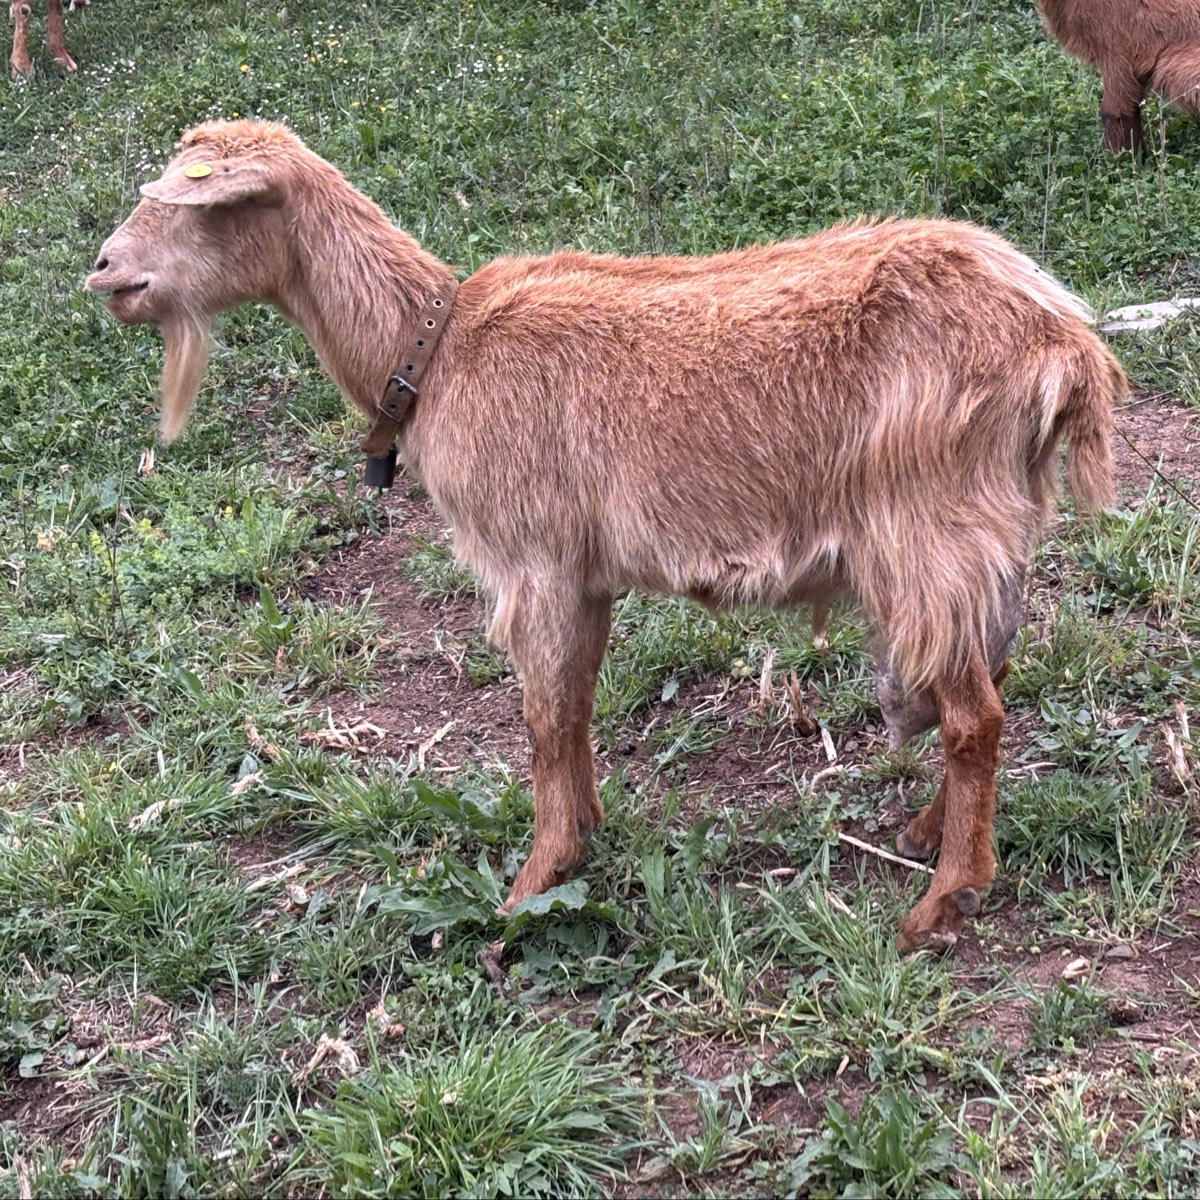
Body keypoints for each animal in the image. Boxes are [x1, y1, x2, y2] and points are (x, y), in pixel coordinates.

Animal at [85, 120, 1124, 951]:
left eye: (192, 204)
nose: (105, 270)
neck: (437, 347)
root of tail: (1064, 346)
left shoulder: (532, 560)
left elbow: (541, 719)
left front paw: (526, 887)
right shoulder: (582, 575)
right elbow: (576, 707)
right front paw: (580, 837)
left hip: (926, 529)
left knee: (974, 715)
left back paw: (943, 902)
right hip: (988, 534)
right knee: (989, 677)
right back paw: (926, 835)